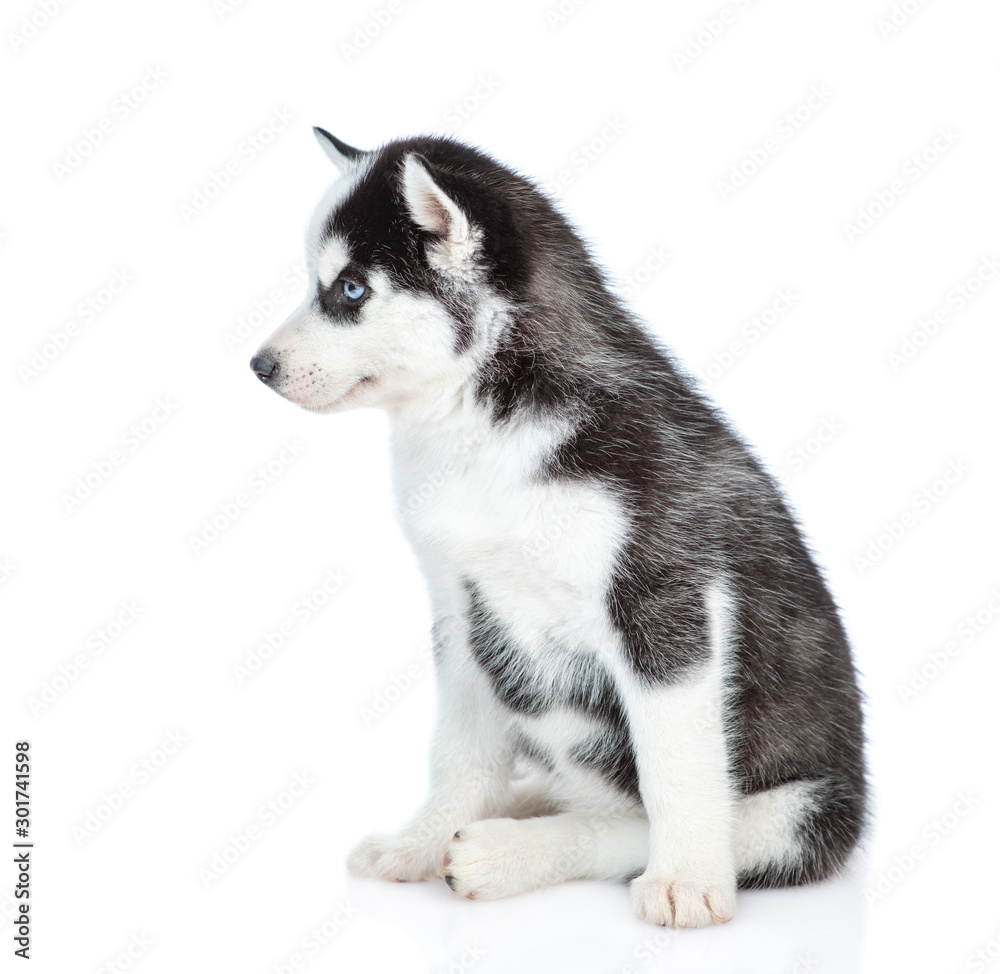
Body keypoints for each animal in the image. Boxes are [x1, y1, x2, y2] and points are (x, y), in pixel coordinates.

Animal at [252, 130, 868, 932]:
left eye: (351, 290)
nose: (258, 366)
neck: (484, 427)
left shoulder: (665, 602)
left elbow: (675, 770)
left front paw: (687, 878)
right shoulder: (461, 608)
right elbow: (458, 750)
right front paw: (423, 840)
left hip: (810, 810)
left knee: (669, 820)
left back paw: (513, 850)